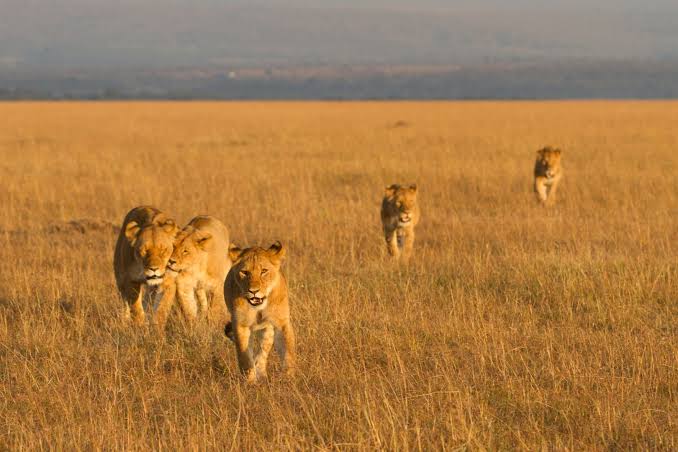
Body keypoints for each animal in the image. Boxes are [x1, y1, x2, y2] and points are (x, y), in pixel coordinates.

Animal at [223, 241, 296, 383]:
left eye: (264, 271)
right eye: (245, 272)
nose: (254, 291)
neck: (259, 307)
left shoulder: (281, 322)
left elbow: (288, 350)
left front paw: (288, 376)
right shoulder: (241, 324)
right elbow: (244, 356)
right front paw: (250, 382)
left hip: (267, 330)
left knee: (263, 352)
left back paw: (262, 374)